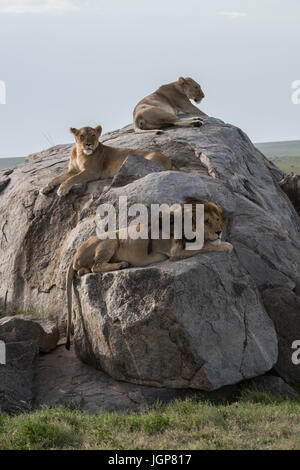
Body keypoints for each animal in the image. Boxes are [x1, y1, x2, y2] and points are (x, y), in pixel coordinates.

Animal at [39, 125, 176, 196]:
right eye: (81, 136)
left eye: (93, 135)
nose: (88, 144)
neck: (79, 153)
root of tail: (170, 160)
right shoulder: (72, 170)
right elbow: (56, 178)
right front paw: (45, 188)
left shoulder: (92, 171)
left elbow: (73, 178)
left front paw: (62, 189)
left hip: (148, 158)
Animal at [65, 198, 232, 348]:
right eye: (206, 221)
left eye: (218, 219)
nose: (219, 232)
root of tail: (75, 253)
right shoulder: (176, 251)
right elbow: (205, 245)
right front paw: (225, 245)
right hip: (110, 239)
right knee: (96, 266)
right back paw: (121, 264)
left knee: (85, 270)